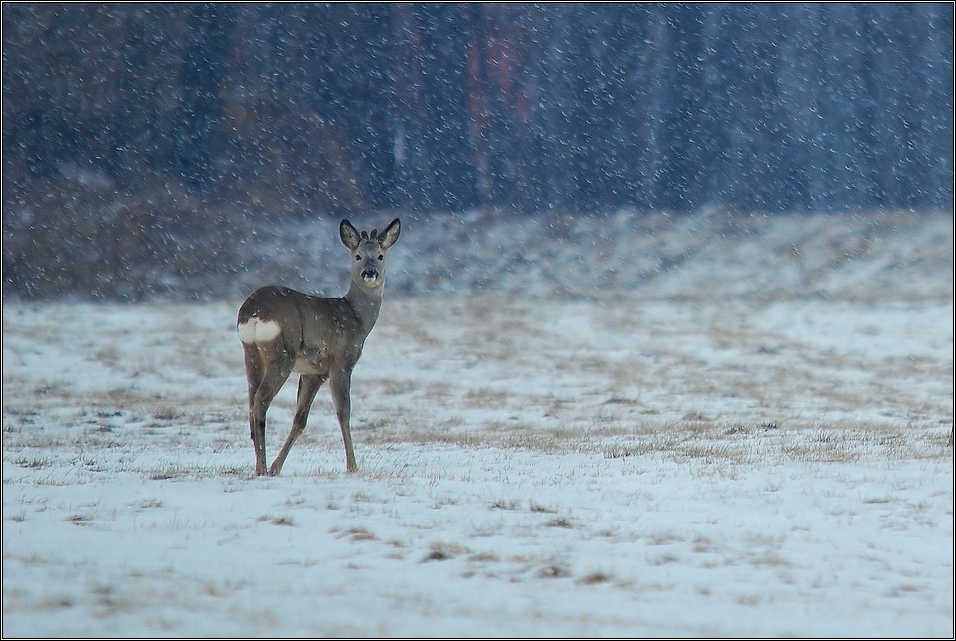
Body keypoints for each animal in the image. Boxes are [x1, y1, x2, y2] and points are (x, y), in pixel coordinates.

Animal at [243, 218, 404, 472]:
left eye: (380, 255)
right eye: (358, 256)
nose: (370, 273)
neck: (357, 318)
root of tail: (253, 312)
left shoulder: (313, 372)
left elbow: (300, 419)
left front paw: (277, 468)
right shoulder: (341, 361)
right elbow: (343, 412)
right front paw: (352, 466)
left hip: (251, 353)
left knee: (251, 402)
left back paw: (262, 466)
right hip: (282, 354)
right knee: (261, 400)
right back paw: (261, 467)